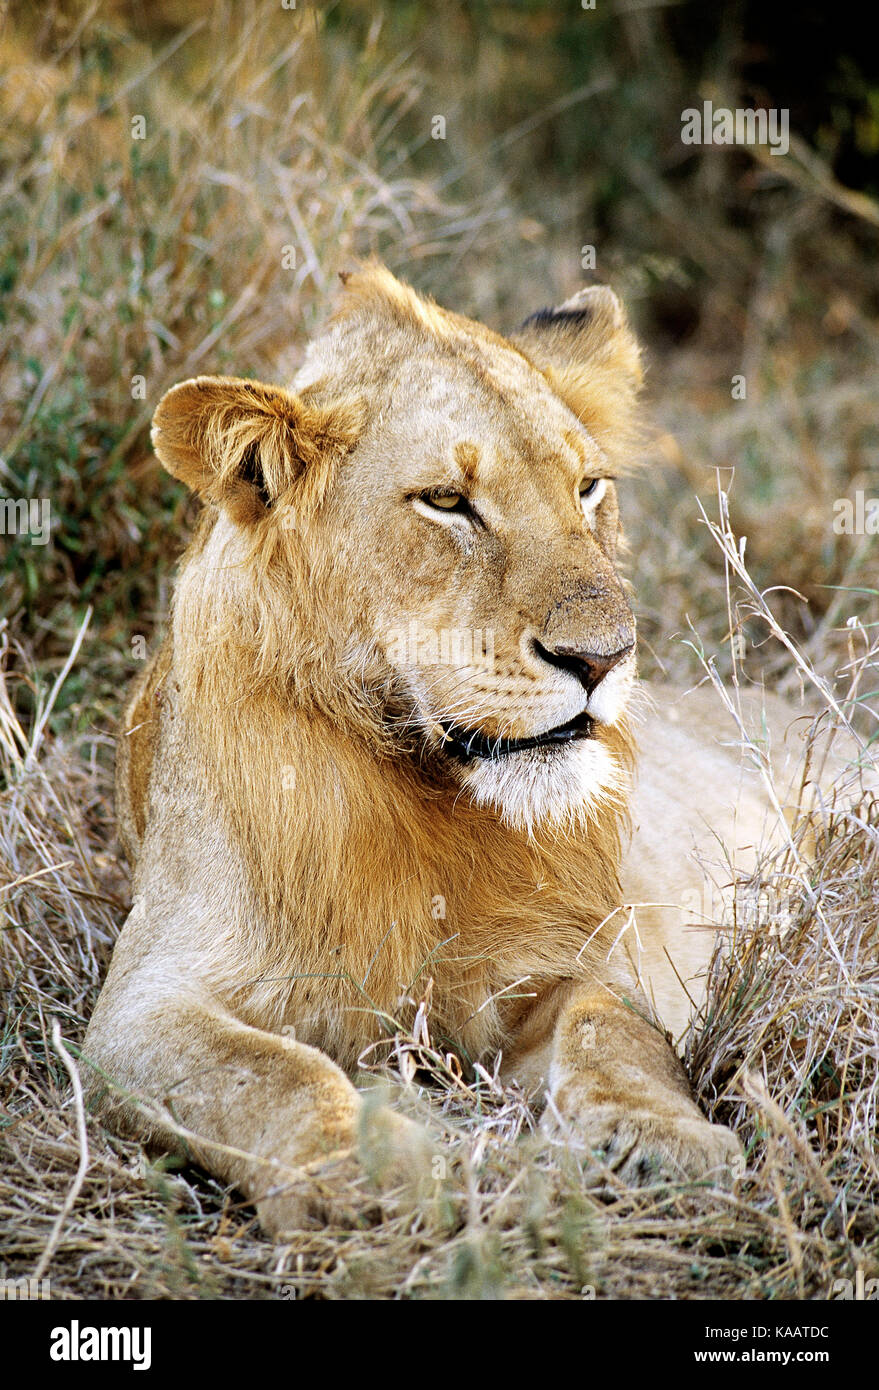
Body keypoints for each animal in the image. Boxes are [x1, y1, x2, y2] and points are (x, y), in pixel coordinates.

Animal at [84, 265, 812, 1234]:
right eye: (446, 502)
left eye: (588, 488)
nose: (605, 656)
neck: (420, 789)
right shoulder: (142, 999)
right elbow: (263, 1072)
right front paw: (369, 1168)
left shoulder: (576, 960)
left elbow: (609, 1026)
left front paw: (666, 1142)